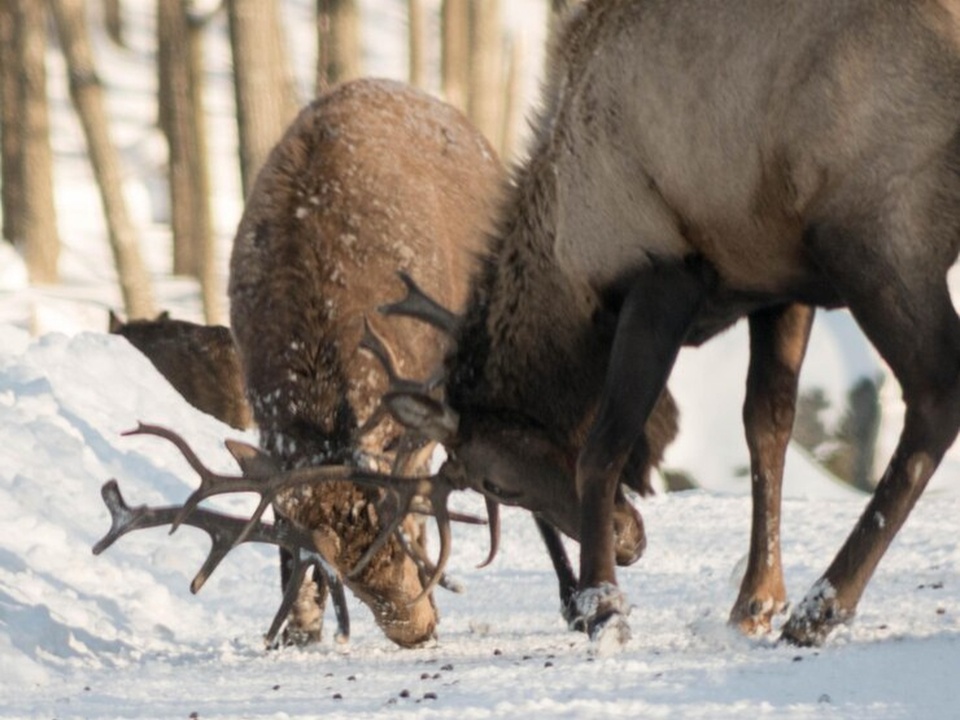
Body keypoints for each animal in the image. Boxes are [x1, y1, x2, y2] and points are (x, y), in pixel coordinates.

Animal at [364, 0, 960, 648]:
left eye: (494, 483)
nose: (628, 540)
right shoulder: (777, 282)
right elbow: (767, 425)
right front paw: (753, 601)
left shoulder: (662, 273)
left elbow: (604, 446)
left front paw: (604, 606)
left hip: (875, 233)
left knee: (935, 396)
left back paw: (822, 608)